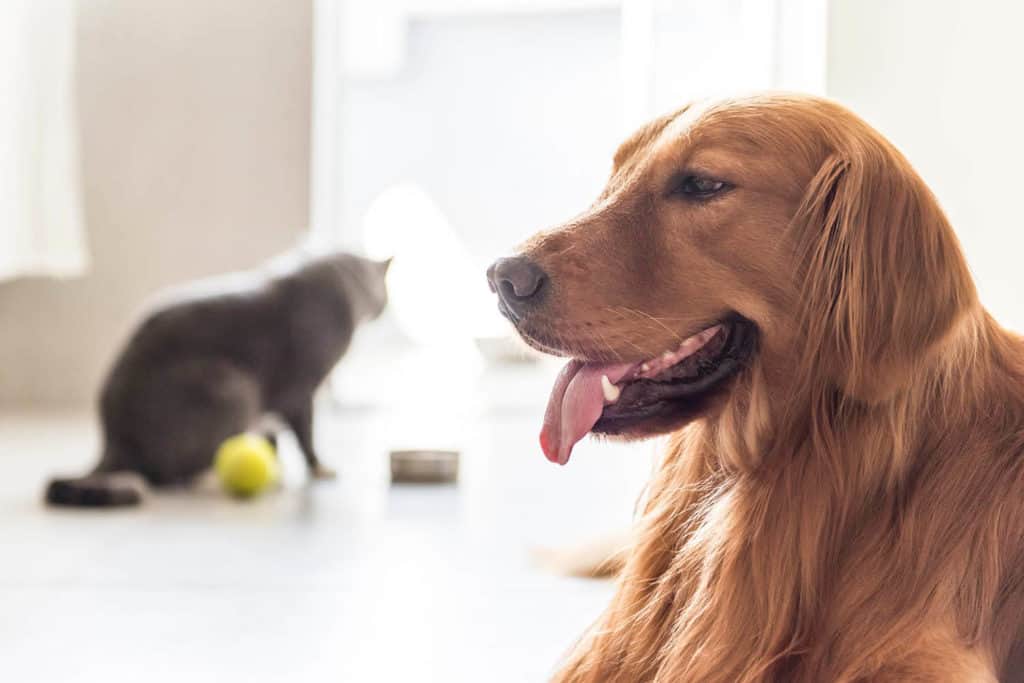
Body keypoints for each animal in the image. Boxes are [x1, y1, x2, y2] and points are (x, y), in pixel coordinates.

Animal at [44, 250, 389, 507]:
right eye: (383, 295)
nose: (383, 308)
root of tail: (113, 439)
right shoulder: (299, 392)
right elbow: (307, 437)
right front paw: (317, 467)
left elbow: (272, 438)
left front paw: (276, 463)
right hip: (233, 386)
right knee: (169, 475)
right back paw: (208, 477)